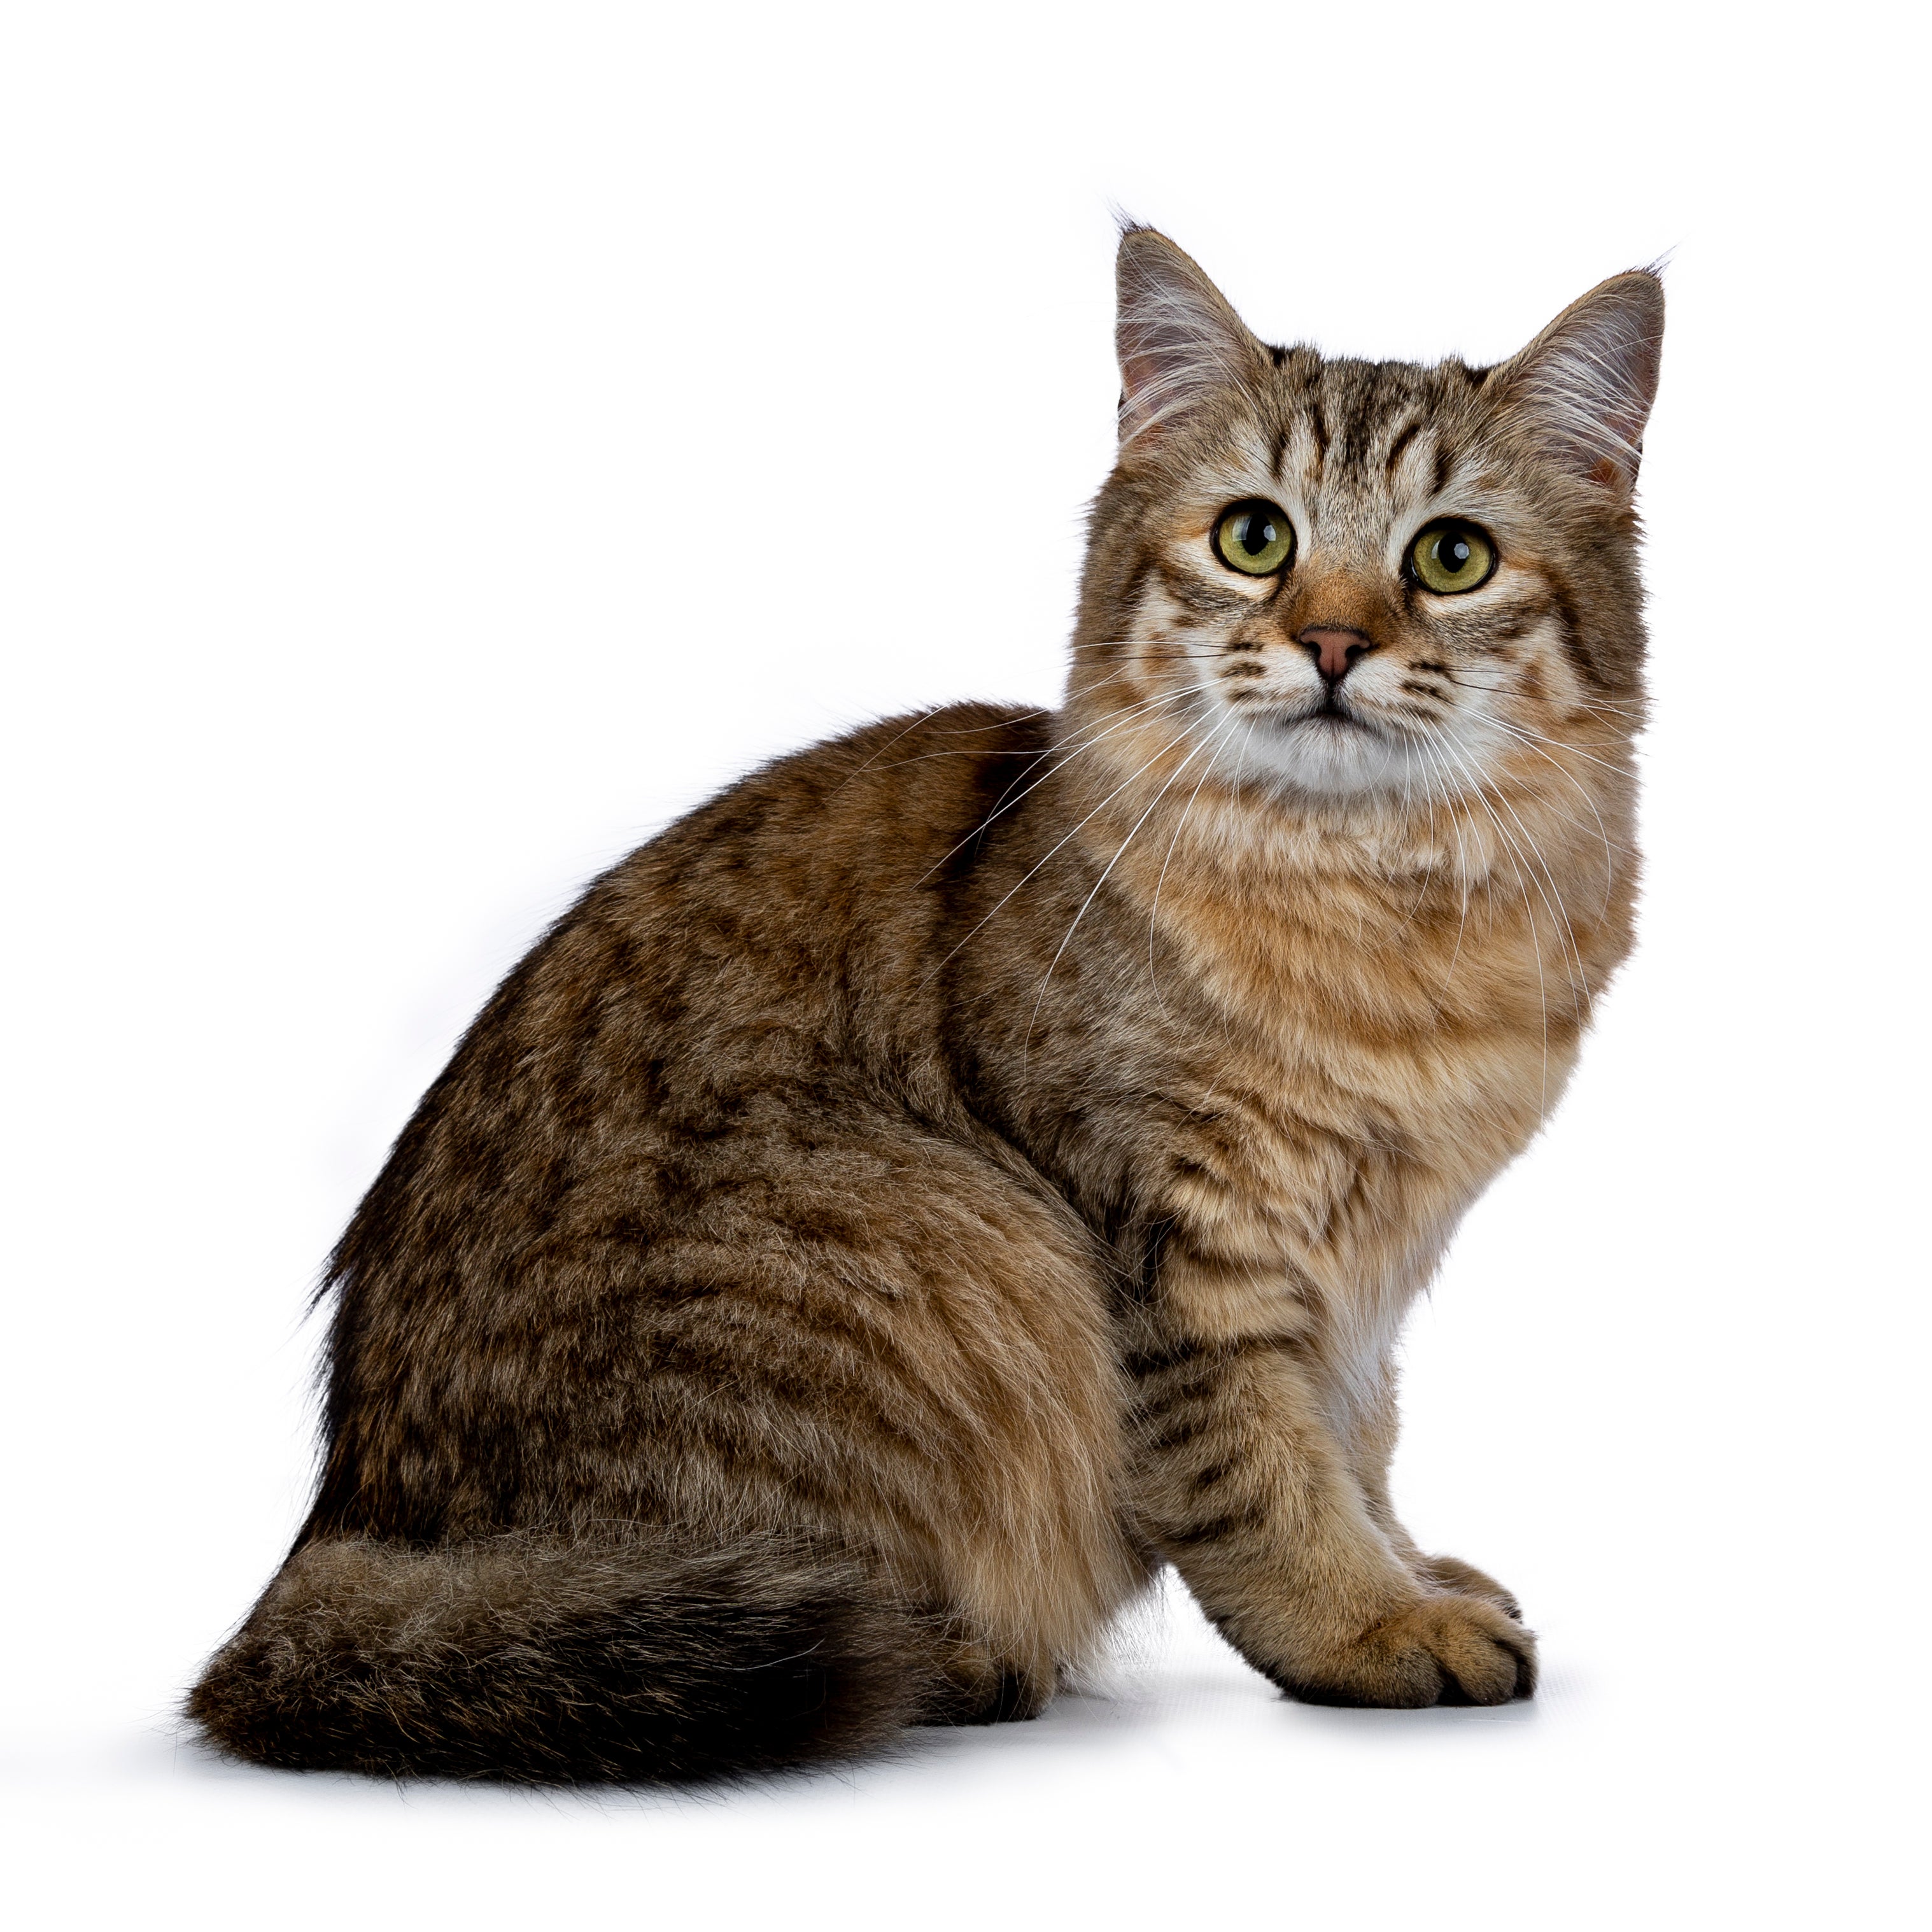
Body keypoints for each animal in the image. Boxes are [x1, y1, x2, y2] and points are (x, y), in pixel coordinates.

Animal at [188, 226, 1661, 1777]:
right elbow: (1260, 1472)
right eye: (1254, 538)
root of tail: (334, 1538)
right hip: (949, 1237)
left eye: (1450, 557)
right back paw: (955, 1660)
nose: (1329, 643)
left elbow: (1358, 1441)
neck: (1381, 915)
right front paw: (1362, 1621)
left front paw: (1411, 1569)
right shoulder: (1175, 1239)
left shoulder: (1369, 1268)